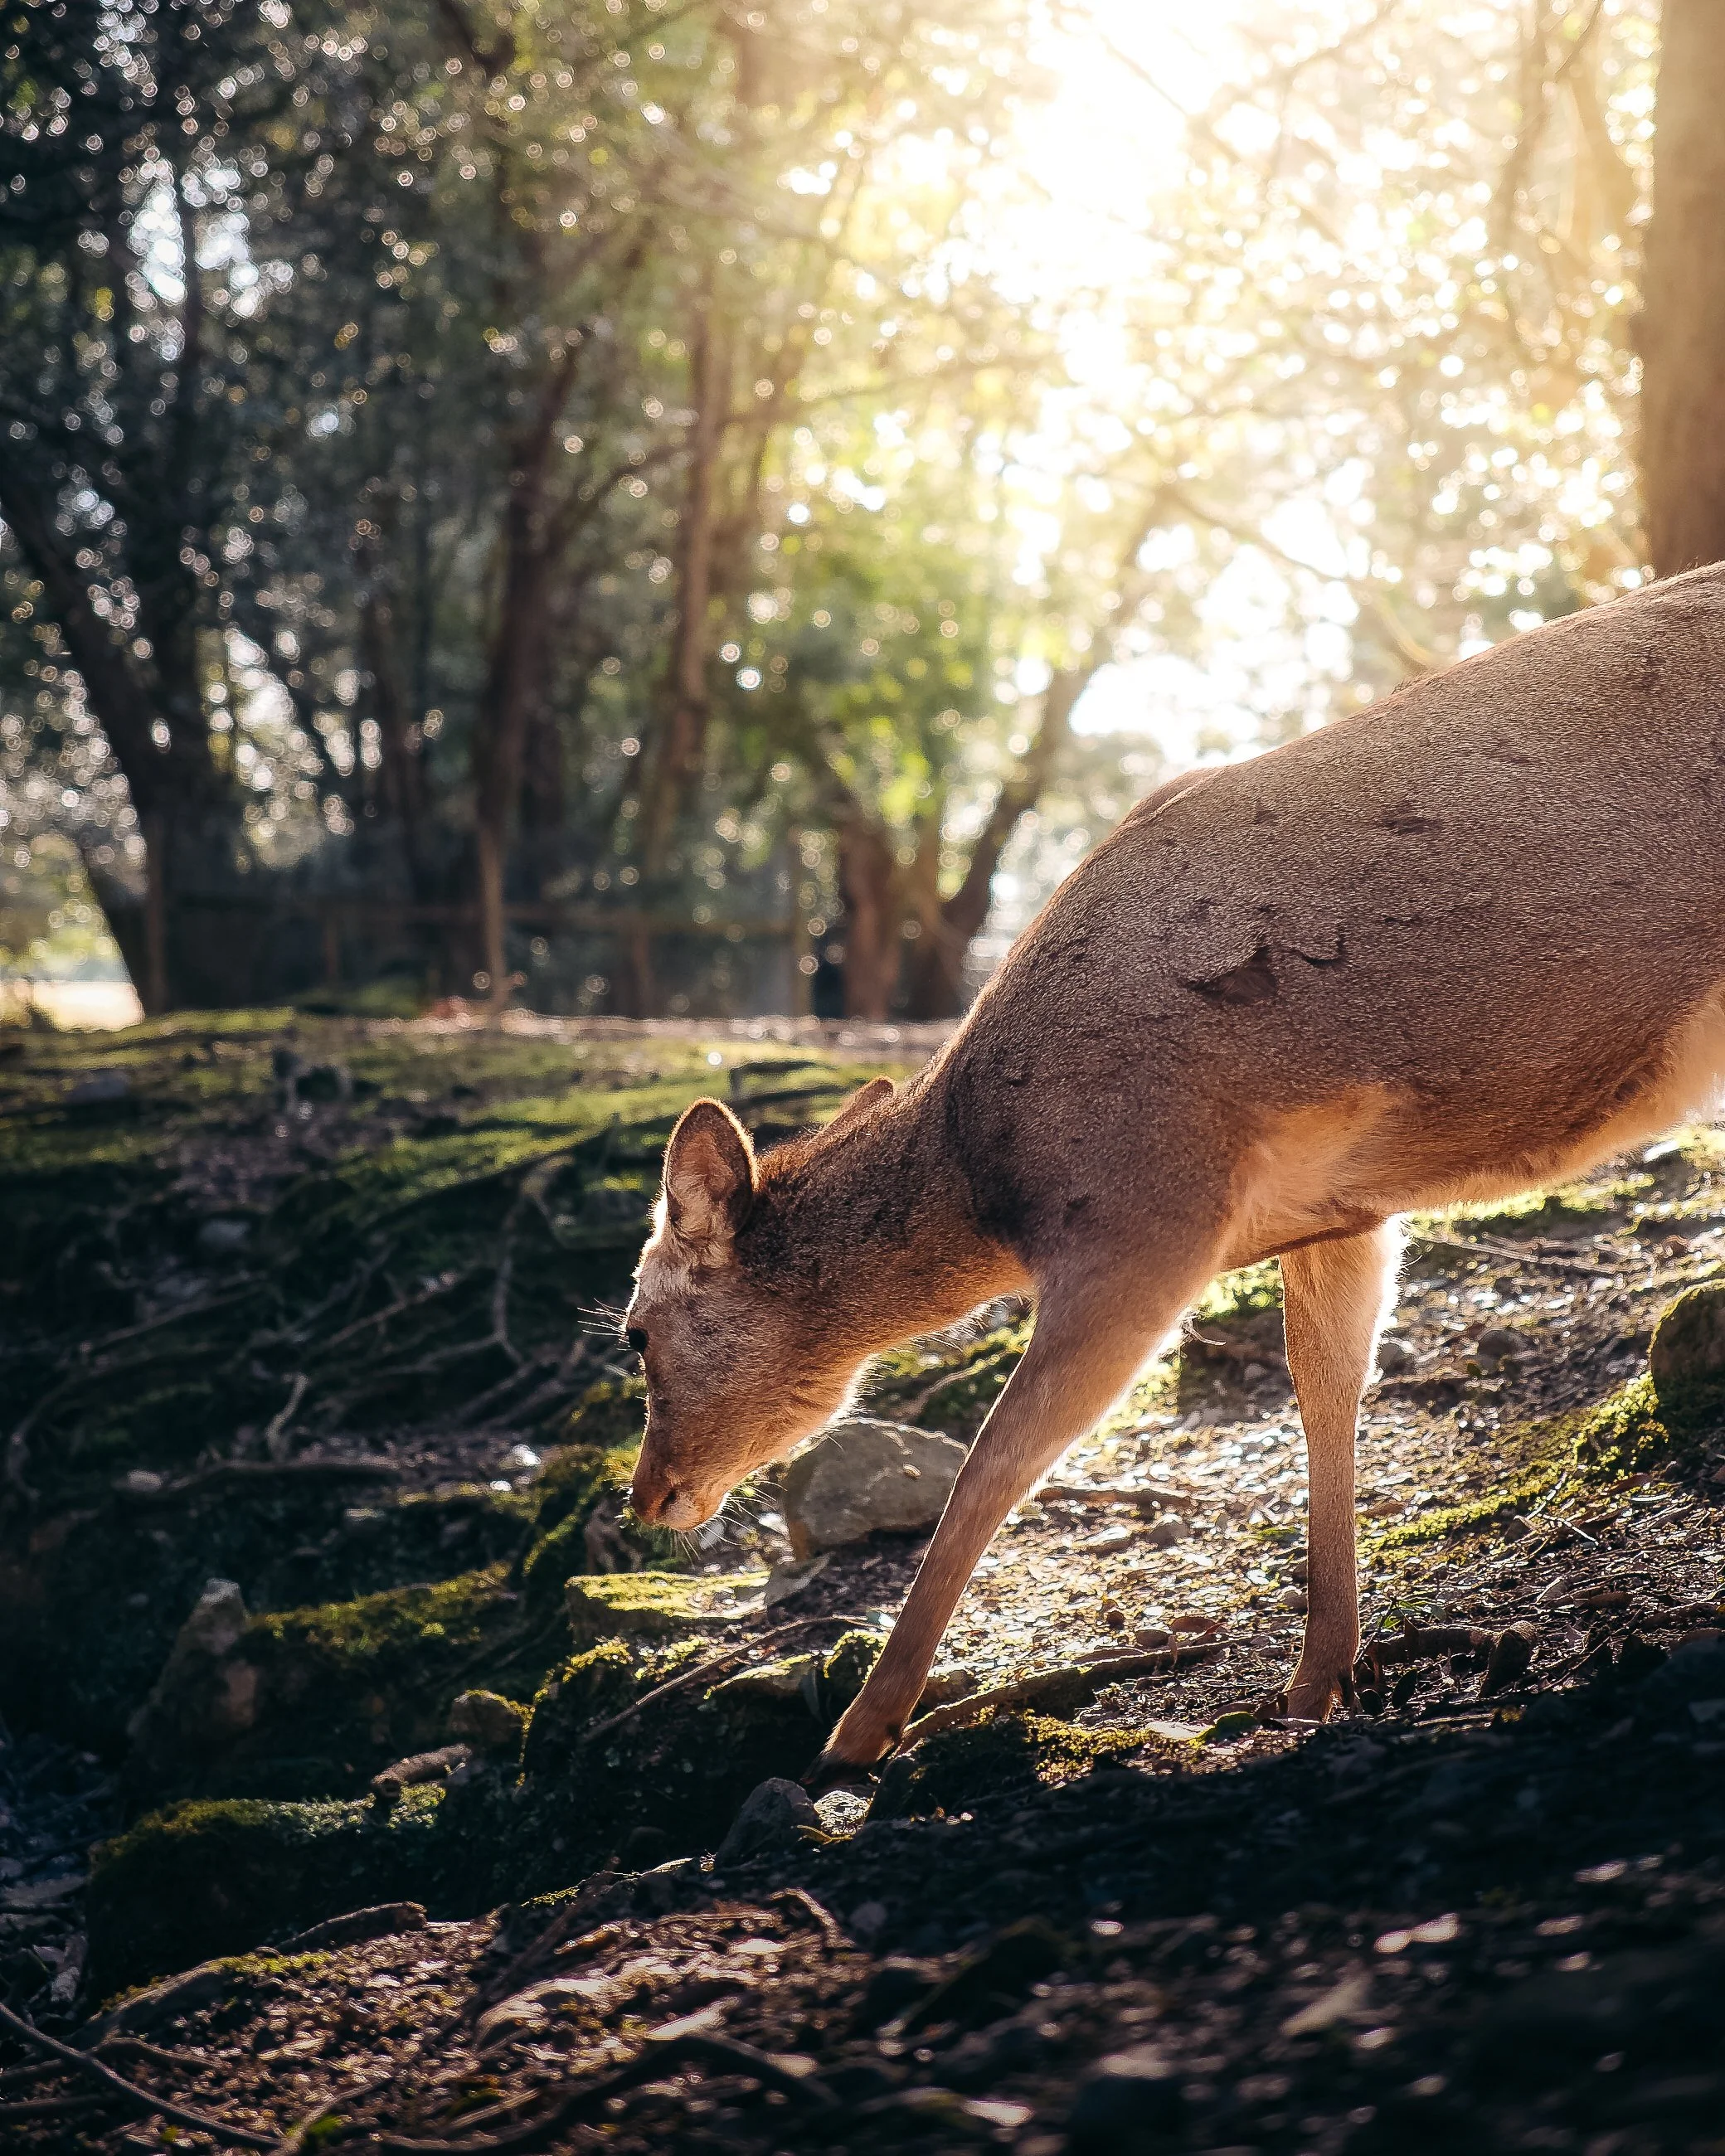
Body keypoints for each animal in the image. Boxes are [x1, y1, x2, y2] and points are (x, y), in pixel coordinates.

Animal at [624, 564, 1725, 1787]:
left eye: (635, 1332)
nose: (646, 1497)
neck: (992, 1182)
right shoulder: (1341, 1211)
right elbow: (1326, 1387)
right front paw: (1316, 1678)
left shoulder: (1142, 1211)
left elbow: (995, 1463)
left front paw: (860, 1733)